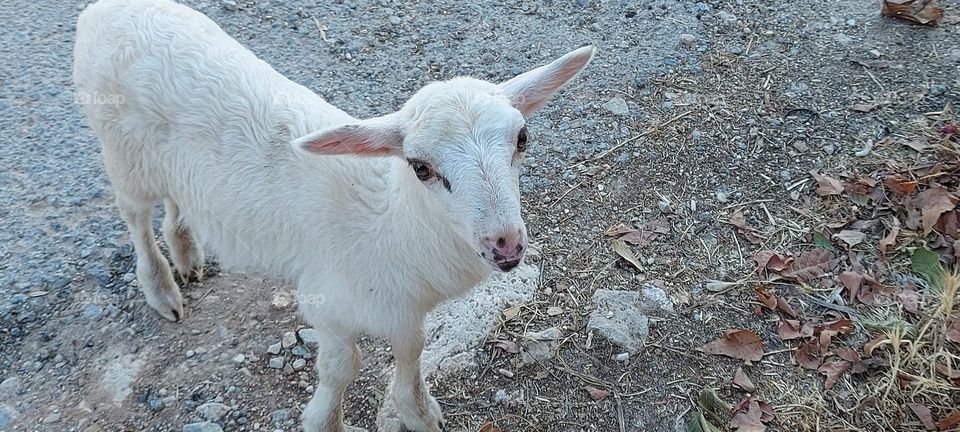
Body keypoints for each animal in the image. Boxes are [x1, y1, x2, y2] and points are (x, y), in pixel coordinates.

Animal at [75, 1, 596, 430]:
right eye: (420, 167)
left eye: (522, 138)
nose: (504, 244)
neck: (392, 221)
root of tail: (105, 8)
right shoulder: (330, 303)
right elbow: (343, 369)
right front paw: (326, 420)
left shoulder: (403, 307)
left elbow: (412, 349)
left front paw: (418, 411)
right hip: (122, 152)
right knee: (135, 217)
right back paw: (162, 287)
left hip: (170, 163)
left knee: (177, 198)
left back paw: (186, 251)